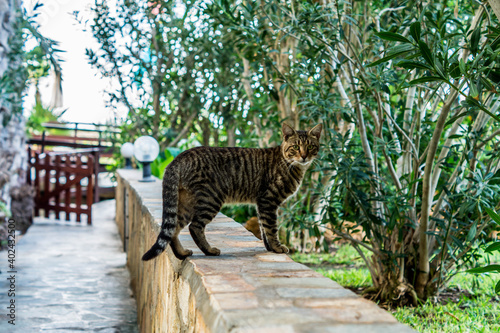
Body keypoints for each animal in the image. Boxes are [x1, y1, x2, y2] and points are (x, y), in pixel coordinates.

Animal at [142, 123, 320, 260]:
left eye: (310, 146)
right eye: (296, 147)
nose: (304, 156)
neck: (293, 166)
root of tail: (179, 157)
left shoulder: (261, 203)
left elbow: (263, 229)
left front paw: (270, 248)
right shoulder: (268, 200)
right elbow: (271, 228)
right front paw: (277, 248)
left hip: (188, 202)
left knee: (174, 228)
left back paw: (181, 253)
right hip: (211, 198)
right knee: (195, 227)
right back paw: (209, 250)